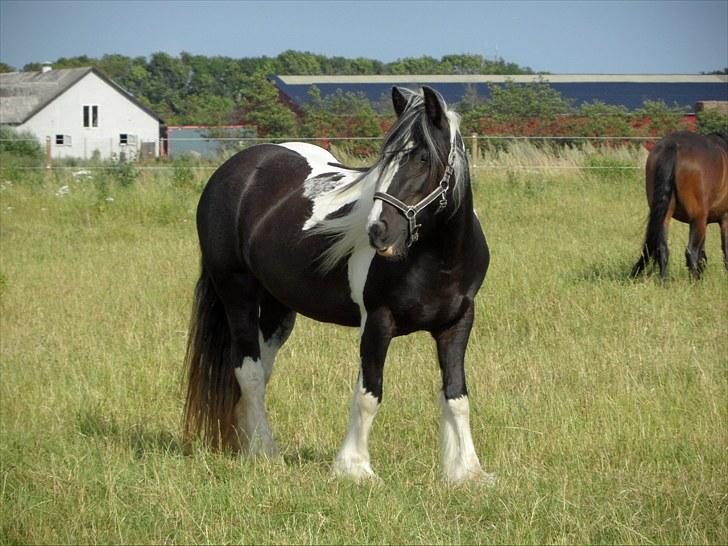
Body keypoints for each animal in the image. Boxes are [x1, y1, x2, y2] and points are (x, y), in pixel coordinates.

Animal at [186, 85, 494, 480]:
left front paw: (467, 472)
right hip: (235, 291)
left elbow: (457, 396)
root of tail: (233, 170)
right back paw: (264, 453)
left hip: (277, 306)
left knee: (260, 371)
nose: (378, 231)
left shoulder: (457, 323)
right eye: (386, 157)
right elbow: (368, 395)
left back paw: (247, 441)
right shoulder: (377, 321)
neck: (438, 259)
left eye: (424, 158)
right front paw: (355, 469)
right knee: (249, 371)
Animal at [632, 130, 728, 278]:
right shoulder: (724, 220)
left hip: (667, 216)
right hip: (697, 218)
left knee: (663, 250)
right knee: (691, 252)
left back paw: (663, 281)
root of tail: (672, 145)